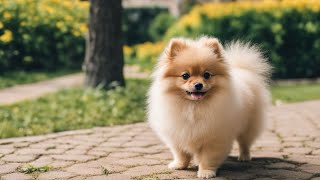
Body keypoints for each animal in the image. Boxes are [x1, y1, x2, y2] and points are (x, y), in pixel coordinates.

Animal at [147, 35, 270, 178]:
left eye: (206, 75)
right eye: (185, 76)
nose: (198, 85)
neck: (193, 107)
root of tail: (243, 71)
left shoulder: (214, 138)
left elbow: (208, 157)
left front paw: (206, 172)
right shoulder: (178, 134)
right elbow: (181, 153)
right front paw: (179, 165)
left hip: (248, 127)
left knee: (244, 143)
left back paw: (244, 156)